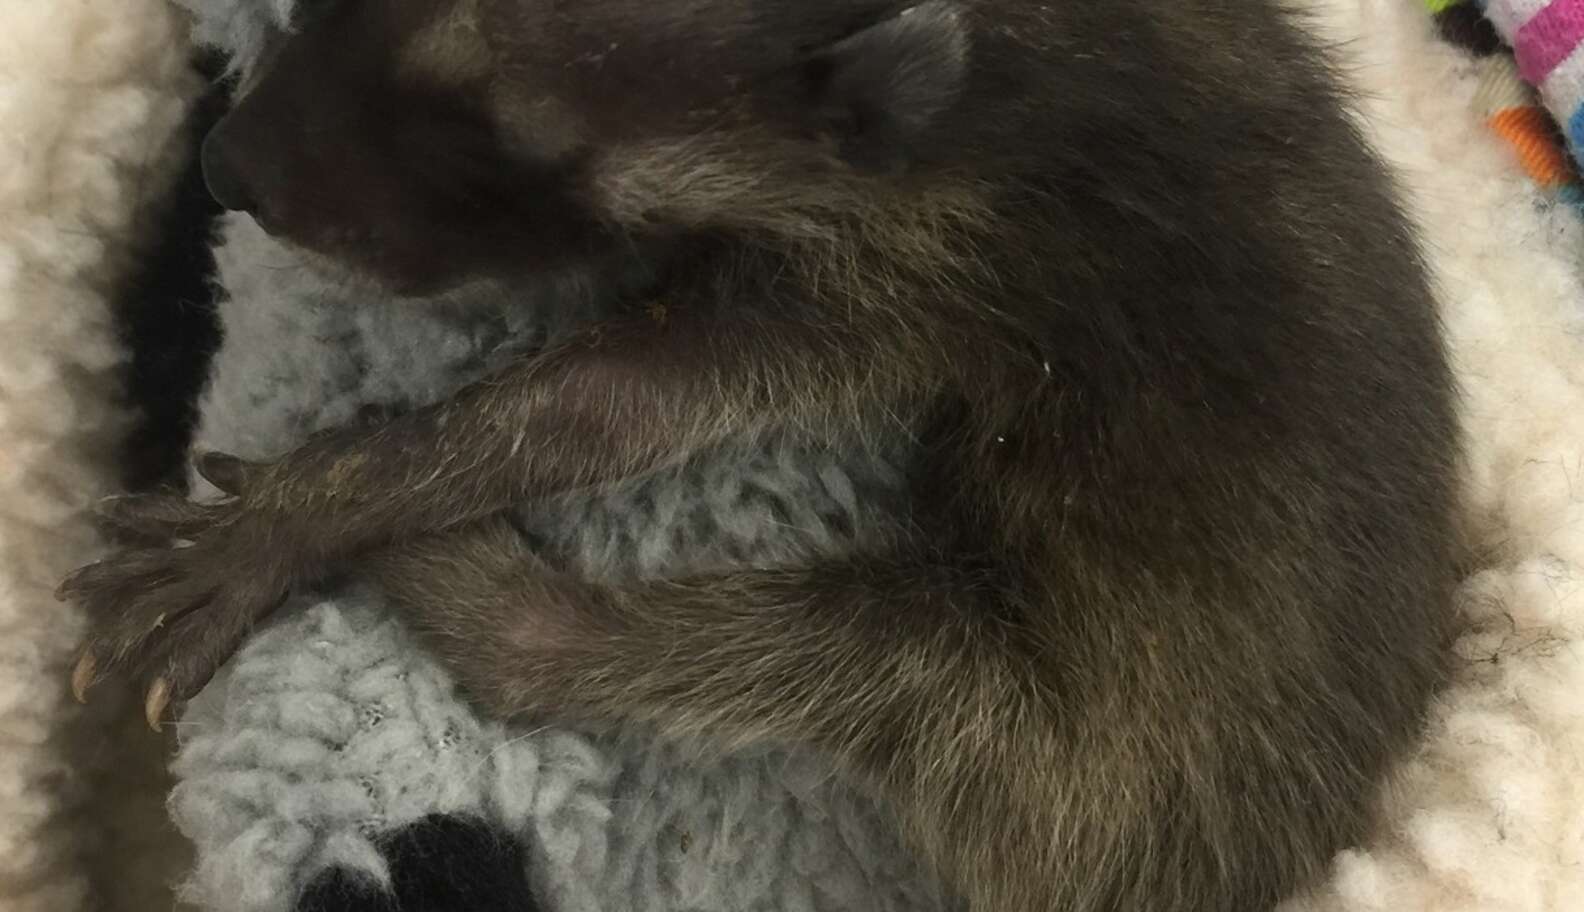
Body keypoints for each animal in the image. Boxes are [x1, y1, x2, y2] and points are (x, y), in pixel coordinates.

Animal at [64, 1, 1457, 912]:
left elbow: (601, 408)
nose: (223, 164)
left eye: (503, 136)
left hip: (1101, 753)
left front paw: (329, 496)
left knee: (842, 658)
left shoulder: (930, 247)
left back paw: (526, 622)